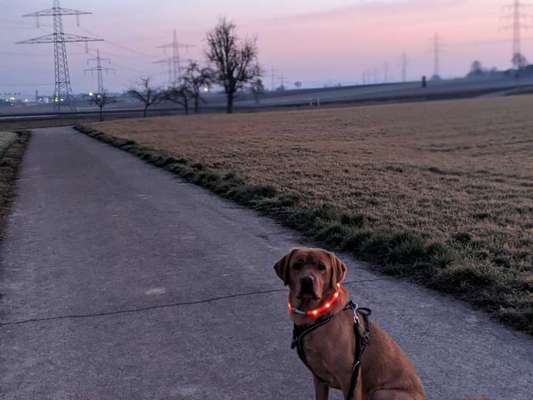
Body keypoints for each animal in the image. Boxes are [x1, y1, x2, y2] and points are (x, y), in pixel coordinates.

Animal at [274, 247, 424, 400]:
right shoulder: (319, 379)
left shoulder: (351, 378)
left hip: (382, 392)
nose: (307, 280)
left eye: (321, 267)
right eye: (297, 265)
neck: (316, 316)